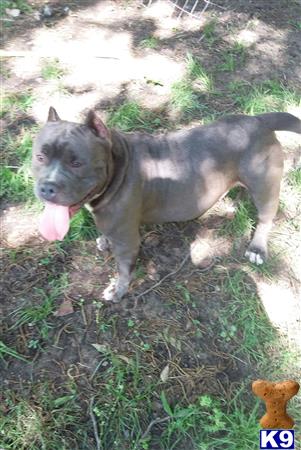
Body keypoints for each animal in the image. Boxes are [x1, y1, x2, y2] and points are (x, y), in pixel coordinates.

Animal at [32, 107, 300, 300]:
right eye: (40, 157)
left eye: (77, 163)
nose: (47, 187)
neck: (118, 165)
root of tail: (259, 120)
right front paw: (104, 241)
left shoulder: (127, 240)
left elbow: (123, 269)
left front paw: (117, 291)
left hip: (265, 186)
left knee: (265, 217)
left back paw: (257, 248)